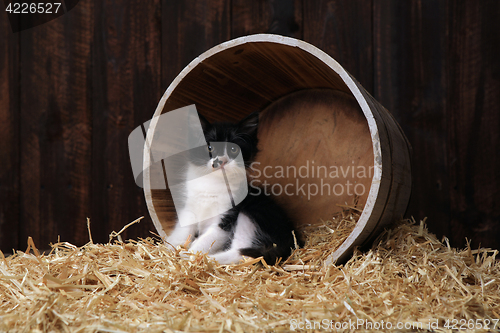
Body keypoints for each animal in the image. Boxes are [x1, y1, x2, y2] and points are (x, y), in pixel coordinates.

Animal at [166, 111, 302, 264]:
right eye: (210, 147)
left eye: (233, 149)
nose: (221, 161)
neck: (212, 182)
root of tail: (291, 239)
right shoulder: (190, 207)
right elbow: (184, 227)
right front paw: (171, 245)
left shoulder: (227, 219)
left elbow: (207, 240)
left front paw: (189, 256)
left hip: (251, 214)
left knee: (242, 254)